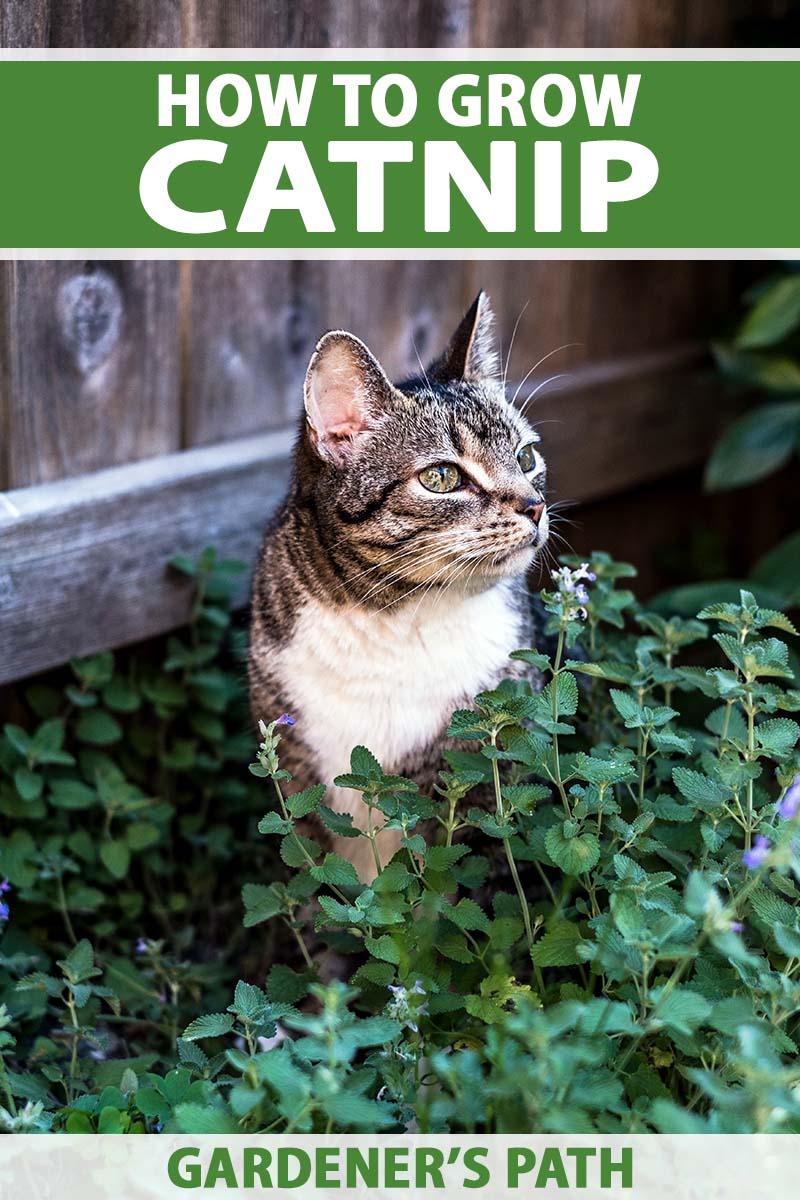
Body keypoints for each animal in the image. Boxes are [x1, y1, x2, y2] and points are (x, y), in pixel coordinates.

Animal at [250, 292, 551, 883]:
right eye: (441, 477)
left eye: (526, 458)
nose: (535, 505)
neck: (397, 615)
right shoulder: (295, 780)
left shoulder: (478, 777)